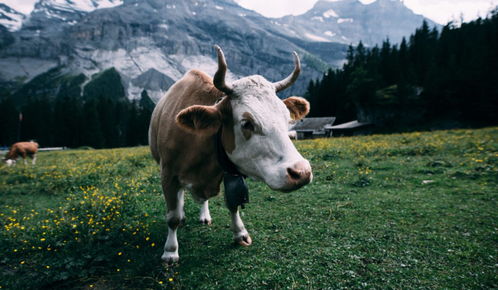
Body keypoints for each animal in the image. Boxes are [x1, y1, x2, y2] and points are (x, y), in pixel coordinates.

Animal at [149, 44, 312, 262]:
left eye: (287, 118)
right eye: (246, 123)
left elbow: (233, 203)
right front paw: (170, 251)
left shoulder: (229, 172)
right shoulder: (167, 174)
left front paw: (240, 233)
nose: (301, 172)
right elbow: (172, 217)